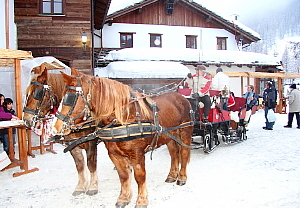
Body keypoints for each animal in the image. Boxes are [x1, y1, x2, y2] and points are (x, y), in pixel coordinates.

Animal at [23, 67, 98, 196]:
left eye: (37, 94)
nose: (26, 120)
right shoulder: (72, 144)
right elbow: (79, 165)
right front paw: (80, 187)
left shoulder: (91, 142)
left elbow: (91, 164)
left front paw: (93, 186)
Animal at [51, 72, 193, 207]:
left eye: (69, 98)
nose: (56, 127)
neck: (123, 118)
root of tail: (182, 98)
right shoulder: (114, 154)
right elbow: (123, 176)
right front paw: (124, 198)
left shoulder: (137, 154)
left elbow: (139, 176)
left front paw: (141, 200)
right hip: (169, 137)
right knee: (174, 154)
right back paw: (172, 175)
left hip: (185, 132)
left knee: (184, 153)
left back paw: (182, 177)